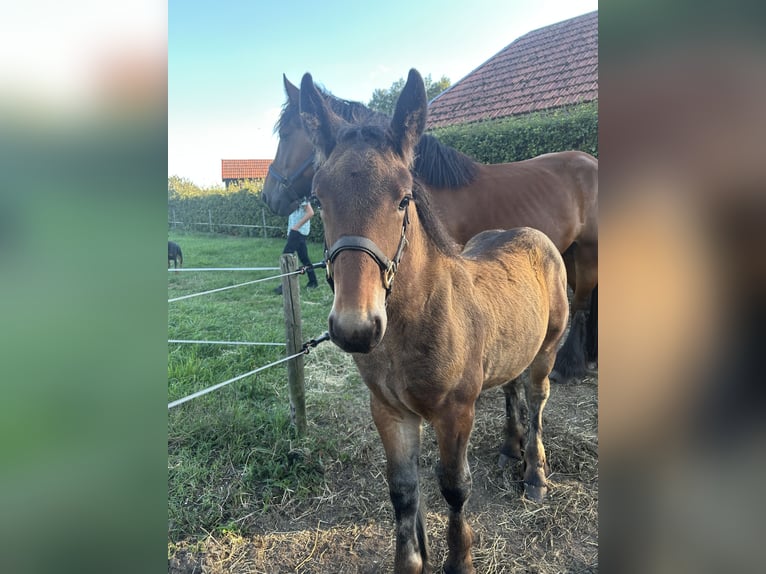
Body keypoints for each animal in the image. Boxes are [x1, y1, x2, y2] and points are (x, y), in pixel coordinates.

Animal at [262, 74, 597, 383]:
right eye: (320, 199)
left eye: (286, 134)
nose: (268, 196)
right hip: (569, 253)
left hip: (586, 253)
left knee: (581, 304)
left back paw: (569, 365)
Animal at [300, 68, 570, 574]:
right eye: (318, 199)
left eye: (404, 198)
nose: (355, 328)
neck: (412, 326)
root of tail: (534, 235)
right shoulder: (389, 411)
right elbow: (404, 492)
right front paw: (411, 561)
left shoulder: (455, 412)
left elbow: (454, 486)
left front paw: (460, 559)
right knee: (510, 386)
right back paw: (509, 447)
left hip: (548, 348)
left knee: (536, 397)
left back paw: (534, 474)